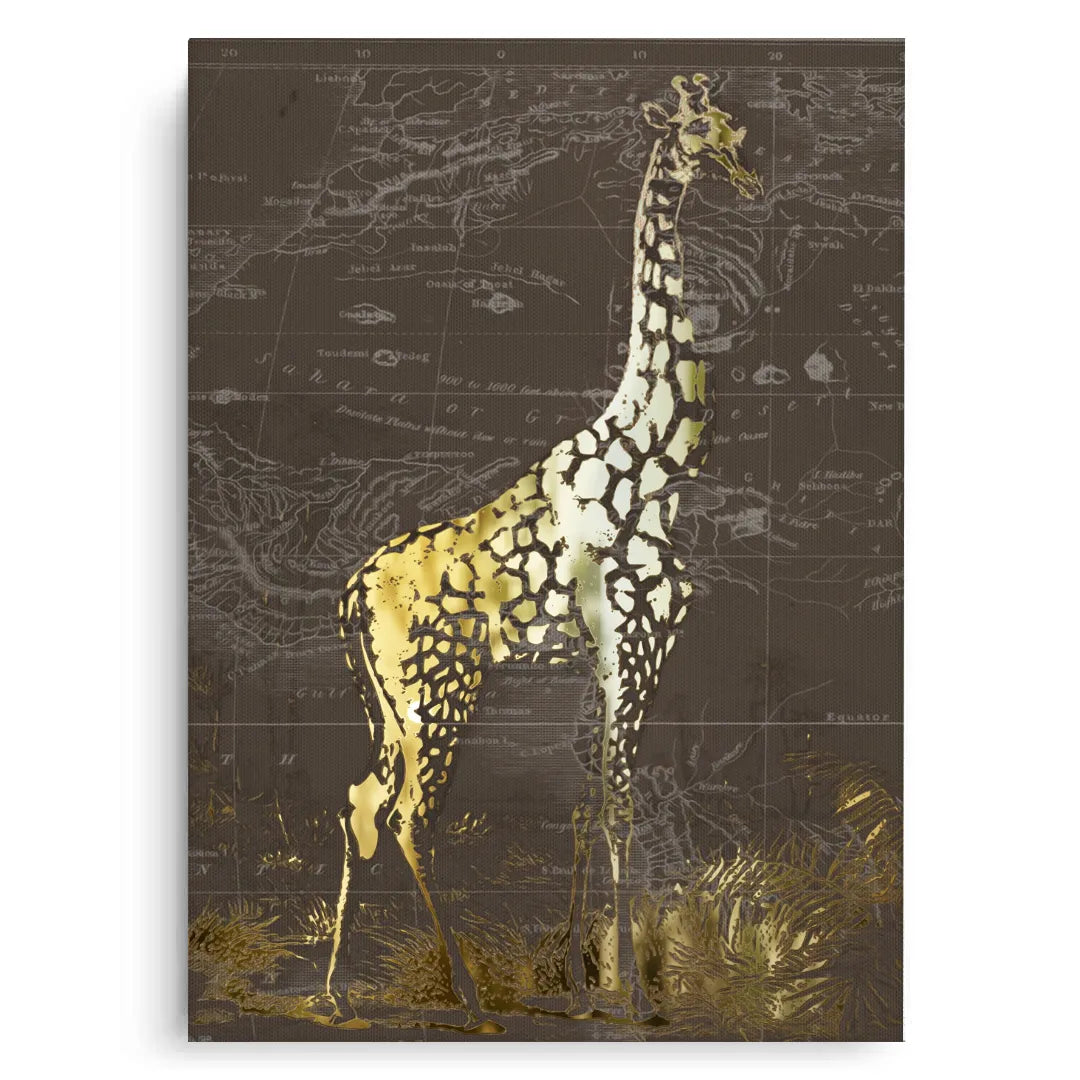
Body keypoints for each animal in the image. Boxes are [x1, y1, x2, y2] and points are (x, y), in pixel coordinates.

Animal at [325, 74, 762, 1026]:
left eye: (736, 130)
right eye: (696, 131)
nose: (747, 177)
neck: (659, 459)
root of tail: (346, 598)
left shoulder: (593, 659)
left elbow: (583, 803)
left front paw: (582, 985)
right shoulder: (634, 641)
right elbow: (621, 804)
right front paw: (635, 996)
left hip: (392, 706)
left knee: (359, 803)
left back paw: (336, 988)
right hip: (438, 690)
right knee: (406, 816)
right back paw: (469, 999)